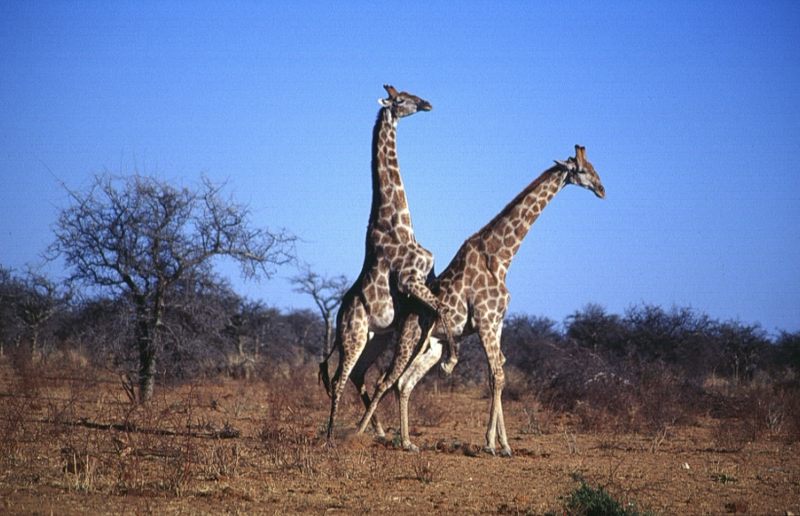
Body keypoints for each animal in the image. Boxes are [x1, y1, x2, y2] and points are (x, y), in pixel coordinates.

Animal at [320, 84, 456, 440]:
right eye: (402, 99)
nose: (427, 103)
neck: (400, 224)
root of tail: (338, 316)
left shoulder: (427, 280)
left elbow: (440, 311)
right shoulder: (411, 281)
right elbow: (443, 310)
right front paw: (449, 361)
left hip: (375, 338)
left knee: (355, 375)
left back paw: (377, 431)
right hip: (354, 335)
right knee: (338, 378)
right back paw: (330, 435)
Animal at [356, 145, 608, 456]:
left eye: (594, 168)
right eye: (583, 170)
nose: (602, 189)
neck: (501, 259)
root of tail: (404, 315)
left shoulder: (497, 323)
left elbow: (500, 374)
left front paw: (505, 444)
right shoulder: (486, 321)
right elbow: (495, 376)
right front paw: (490, 444)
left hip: (432, 347)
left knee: (404, 383)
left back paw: (406, 441)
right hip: (408, 340)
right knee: (385, 380)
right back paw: (356, 433)